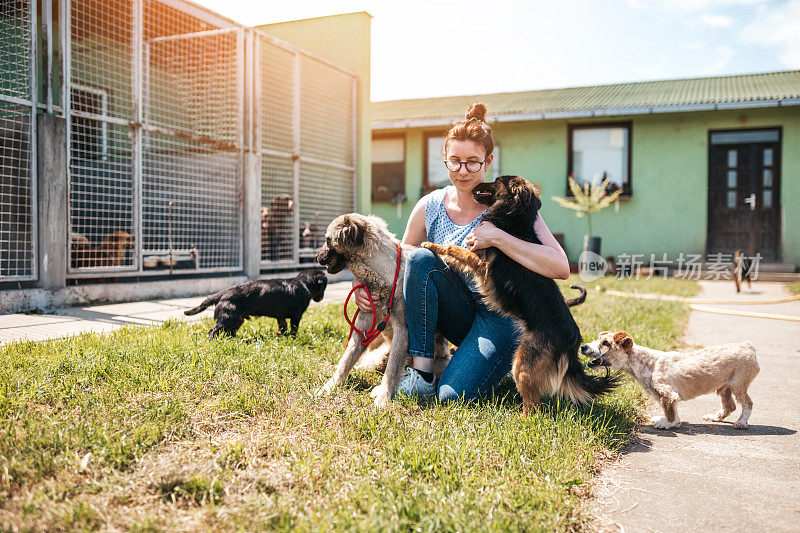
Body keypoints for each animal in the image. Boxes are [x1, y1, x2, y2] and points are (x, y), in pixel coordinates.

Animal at [184, 268, 328, 338]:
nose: (321, 298)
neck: (303, 283)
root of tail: (222, 294)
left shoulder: (280, 316)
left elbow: (282, 327)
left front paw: (280, 337)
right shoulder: (296, 316)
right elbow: (293, 329)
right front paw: (292, 338)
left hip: (237, 320)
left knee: (229, 332)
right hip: (227, 318)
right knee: (212, 331)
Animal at [424, 177, 620, 414]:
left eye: (496, 181)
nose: (478, 183)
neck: (513, 217)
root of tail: (572, 341)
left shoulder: (480, 263)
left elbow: (455, 249)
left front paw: (431, 245)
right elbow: (457, 252)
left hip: (522, 364)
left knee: (534, 405)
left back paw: (522, 418)